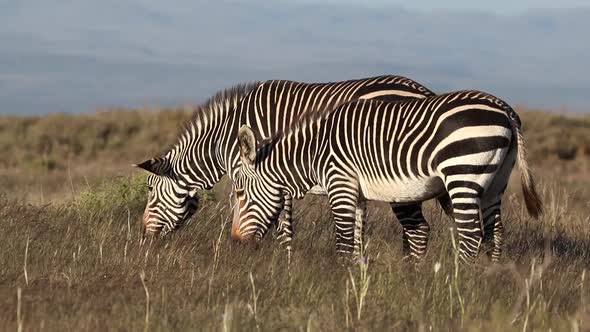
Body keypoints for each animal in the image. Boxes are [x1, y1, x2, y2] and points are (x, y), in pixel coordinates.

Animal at [135, 75, 448, 260]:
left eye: (149, 189)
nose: (144, 239)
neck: (226, 135)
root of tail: (423, 91)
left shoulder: (261, 175)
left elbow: (278, 224)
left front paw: (277, 262)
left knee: (417, 230)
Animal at [232, 89, 544, 264]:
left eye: (239, 193)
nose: (235, 242)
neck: (313, 151)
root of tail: (505, 109)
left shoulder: (339, 182)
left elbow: (343, 239)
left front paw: (339, 286)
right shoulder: (355, 192)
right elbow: (357, 238)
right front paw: (354, 277)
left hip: (462, 174)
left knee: (471, 236)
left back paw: (459, 284)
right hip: (495, 181)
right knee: (495, 233)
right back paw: (489, 278)